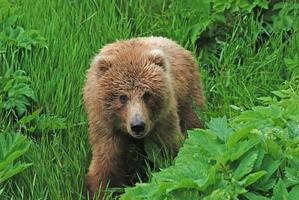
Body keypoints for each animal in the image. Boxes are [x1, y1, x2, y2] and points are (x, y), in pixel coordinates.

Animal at [82, 36, 204, 198]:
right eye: (122, 97)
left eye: (147, 94)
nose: (138, 125)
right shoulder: (106, 126)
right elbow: (106, 164)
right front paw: (102, 190)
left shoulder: (163, 121)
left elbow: (171, 150)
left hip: (188, 95)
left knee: (194, 123)